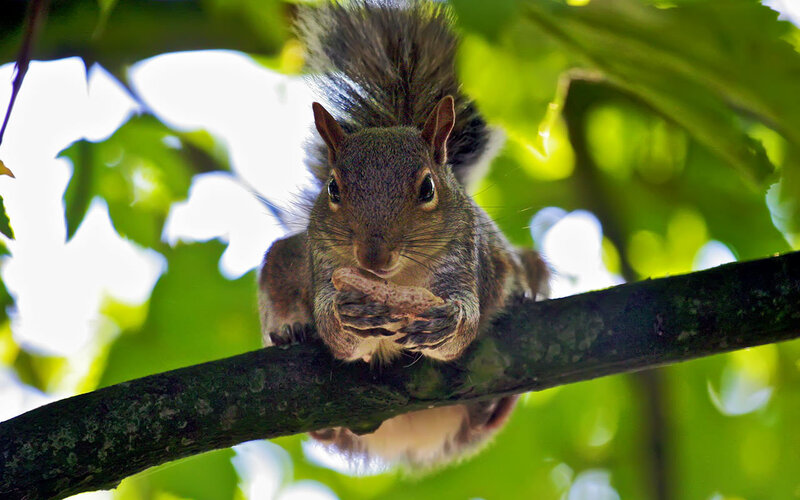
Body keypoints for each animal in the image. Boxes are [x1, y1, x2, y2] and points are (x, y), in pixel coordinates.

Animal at [258, 0, 549, 466]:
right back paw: (292, 333)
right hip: (284, 261)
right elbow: (340, 339)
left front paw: (448, 322)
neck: (397, 281)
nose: (373, 257)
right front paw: (347, 315)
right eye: (333, 188)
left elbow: (460, 334)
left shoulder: (467, 259)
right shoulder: (322, 263)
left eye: (427, 188)